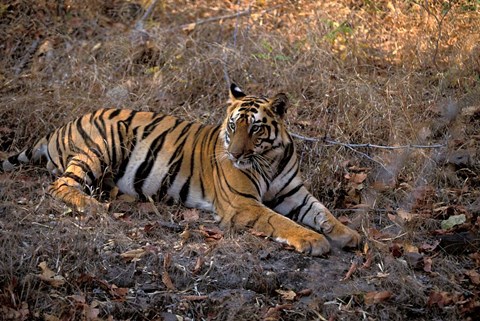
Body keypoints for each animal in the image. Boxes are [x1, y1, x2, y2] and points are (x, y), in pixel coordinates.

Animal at [0, 84, 360, 255]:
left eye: (256, 128)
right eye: (234, 126)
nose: (235, 153)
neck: (268, 158)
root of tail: (60, 127)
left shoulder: (294, 193)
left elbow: (323, 212)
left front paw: (349, 235)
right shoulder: (242, 203)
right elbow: (281, 222)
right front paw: (314, 241)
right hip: (101, 146)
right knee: (60, 185)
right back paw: (92, 206)